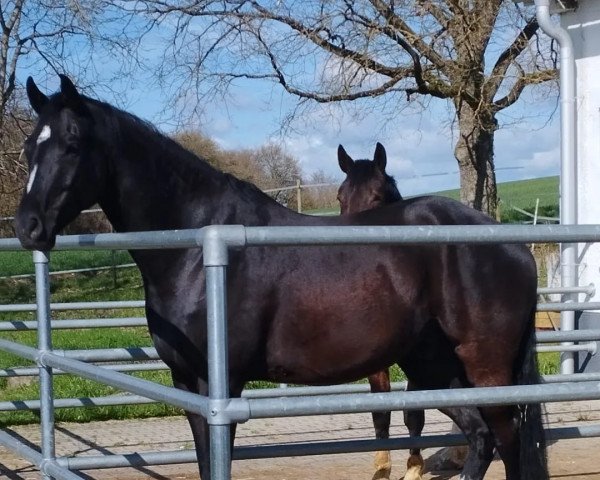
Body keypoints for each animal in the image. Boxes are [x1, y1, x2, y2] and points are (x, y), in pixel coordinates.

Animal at [15, 76, 548, 480]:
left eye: (73, 143)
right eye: (27, 147)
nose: (27, 226)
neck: (195, 253)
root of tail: (512, 244)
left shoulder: (221, 387)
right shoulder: (188, 387)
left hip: (485, 367)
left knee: (505, 441)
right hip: (436, 366)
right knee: (479, 438)